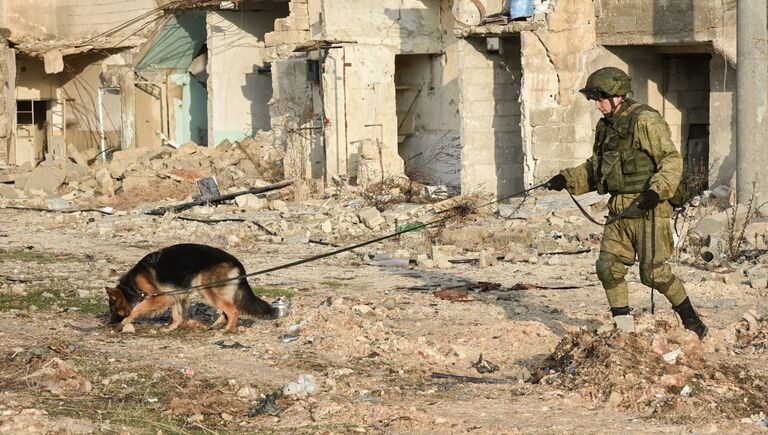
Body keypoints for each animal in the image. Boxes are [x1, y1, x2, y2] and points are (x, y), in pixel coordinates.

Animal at [105, 244, 276, 332]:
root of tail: (237, 263)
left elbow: (136, 309)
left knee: (233, 310)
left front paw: (124, 322)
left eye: (114, 309)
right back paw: (217, 325)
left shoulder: (161, 297)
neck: (131, 287)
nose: (109, 324)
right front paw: (172, 327)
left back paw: (227, 329)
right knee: (227, 310)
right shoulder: (175, 294)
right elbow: (176, 314)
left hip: (207, 290)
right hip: (213, 291)